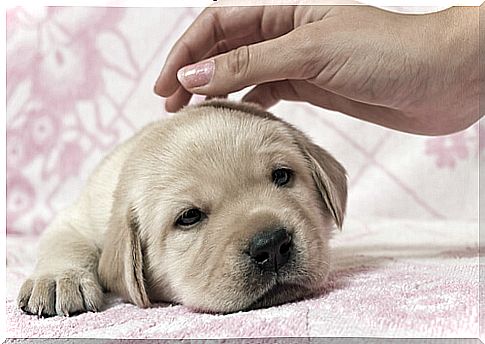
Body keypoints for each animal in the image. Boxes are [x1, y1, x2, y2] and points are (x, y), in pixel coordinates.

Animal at [17, 98, 346, 316]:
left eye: (281, 176)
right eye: (189, 217)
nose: (272, 244)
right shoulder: (77, 217)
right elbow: (65, 241)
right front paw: (57, 279)